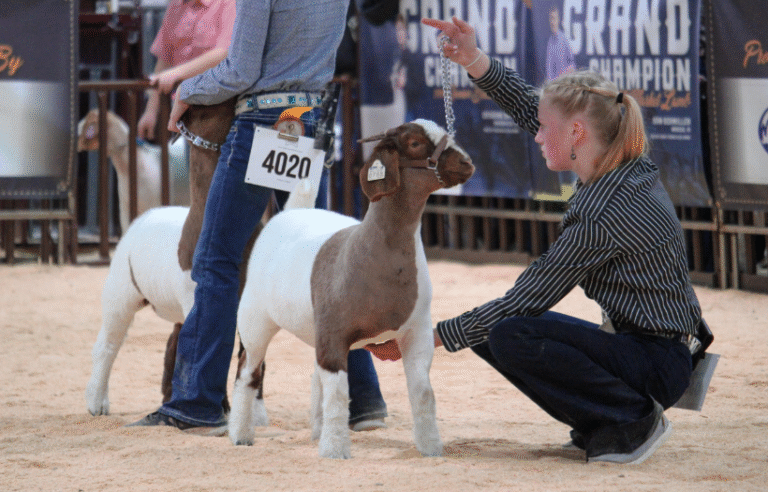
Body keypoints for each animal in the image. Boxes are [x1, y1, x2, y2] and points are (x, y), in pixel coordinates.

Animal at [229, 120, 475, 458]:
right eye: (413, 143)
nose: (467, 164)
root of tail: (289, 212)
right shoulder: (334, 336)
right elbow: (337, 397)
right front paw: (335, 450)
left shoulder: (418, 332)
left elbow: (424, 393)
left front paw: (431, 448)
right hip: (254, 318)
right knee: (247, 372)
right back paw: (241, 434)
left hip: (313, 329)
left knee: (313, 378)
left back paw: (315, 432)